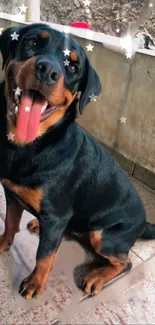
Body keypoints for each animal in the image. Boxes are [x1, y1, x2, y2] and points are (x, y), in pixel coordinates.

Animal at [0, 23, 155, 298]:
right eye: (32, 42)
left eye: (72, 67)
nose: (47, 70)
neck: (31, 146)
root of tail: (144, 223)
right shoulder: (11, 193)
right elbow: (9, 224)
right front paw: (1, 245)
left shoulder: (56, 216)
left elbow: (44, 256)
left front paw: (35, 283)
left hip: (103, 235)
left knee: (124, 262)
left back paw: (97, 276)